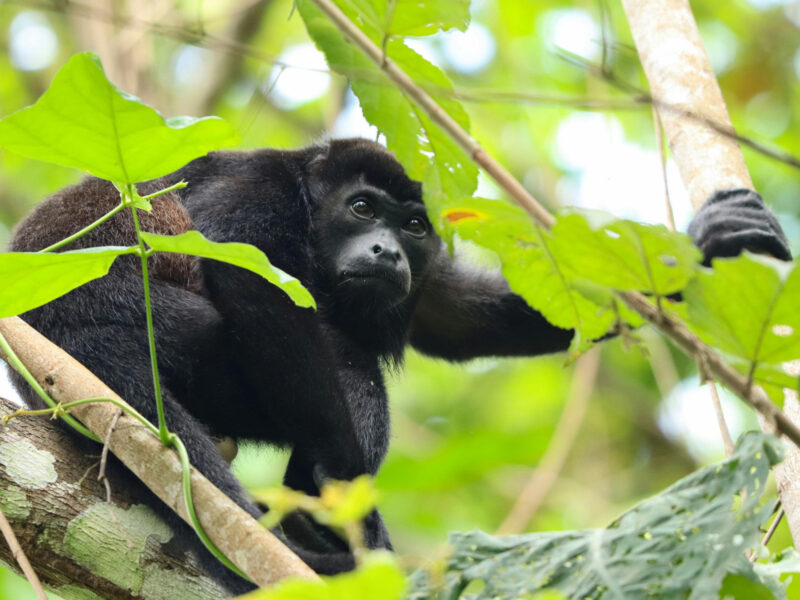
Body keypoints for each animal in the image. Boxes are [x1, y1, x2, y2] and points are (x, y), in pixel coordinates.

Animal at [8, 138, 789, 593]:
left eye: (412, 226)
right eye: (362, 209)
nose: (386, 250)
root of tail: (55, 343)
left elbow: (457, 317)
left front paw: (702, 249)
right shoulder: (256, 188)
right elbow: (251, 282)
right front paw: (352, 505)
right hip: (158, 331)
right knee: (346, 365)